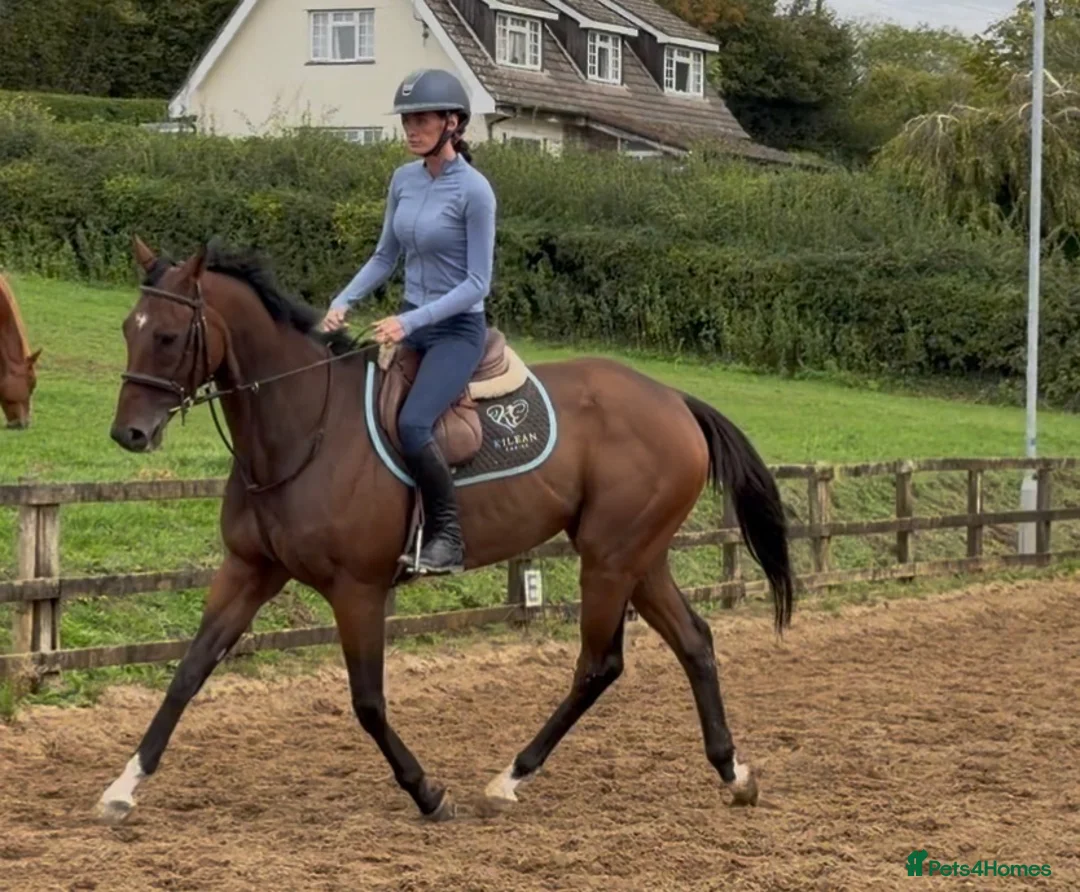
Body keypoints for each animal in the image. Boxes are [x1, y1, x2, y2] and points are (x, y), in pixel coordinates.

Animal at [97, 235, 795, 825]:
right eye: (128, 330)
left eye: (167, 335)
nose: (128, 434)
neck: (305, 427)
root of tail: (675, 399)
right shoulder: (249, 570)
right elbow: (189, 671)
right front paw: (123, 788)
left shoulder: (357, 589)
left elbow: (367, 701)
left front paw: (428, 792)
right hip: (640, 559)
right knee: (694, 642)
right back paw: (733, 773)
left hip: (610, 559)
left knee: (599, 664)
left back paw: (511, 778)